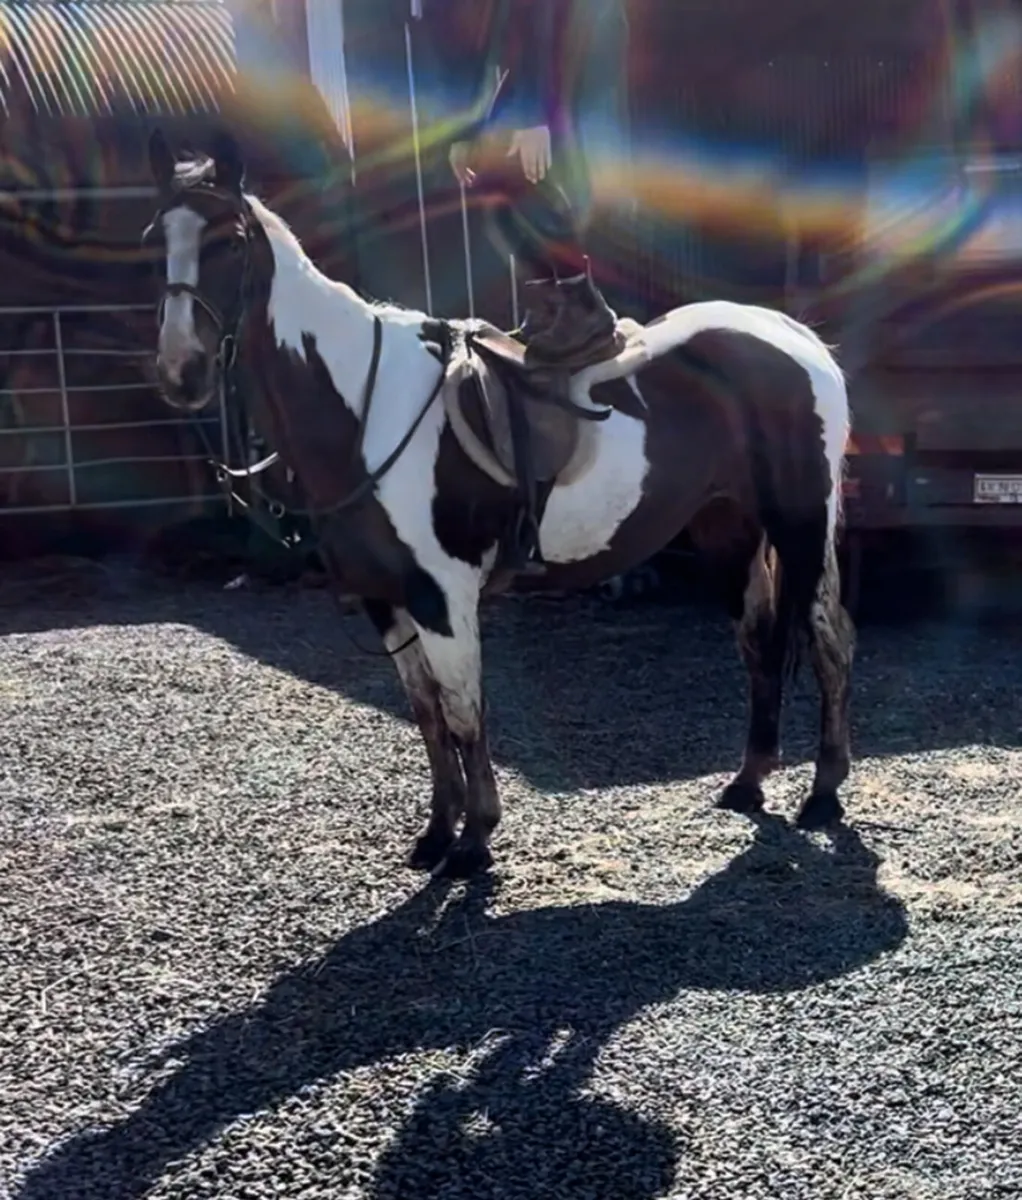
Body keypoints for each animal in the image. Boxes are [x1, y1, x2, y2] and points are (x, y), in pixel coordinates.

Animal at [142, 127, 856, 878]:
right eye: (156, 238)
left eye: (228, 240)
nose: (181, 373)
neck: (363, 407)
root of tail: (796, 339)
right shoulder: (385, 597)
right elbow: (428, 715)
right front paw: (436, 833)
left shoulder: (443, 595)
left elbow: (464, 711)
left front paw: (475, 839)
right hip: (730, 530)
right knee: (758, 644)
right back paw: (748, 782)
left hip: (803, 527)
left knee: (830, 642)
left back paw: (823, 794)